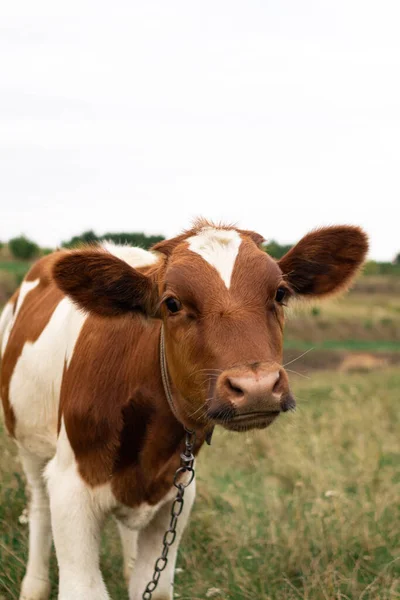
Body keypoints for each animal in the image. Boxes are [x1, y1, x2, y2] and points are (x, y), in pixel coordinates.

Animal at [0, 221, 368, 600]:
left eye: (280, 293)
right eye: (172, 303)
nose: (256, 387)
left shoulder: (178, 493)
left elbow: (154, 585)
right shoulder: (70, 489)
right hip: (29, 444)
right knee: (39, 505)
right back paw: (34, 586)